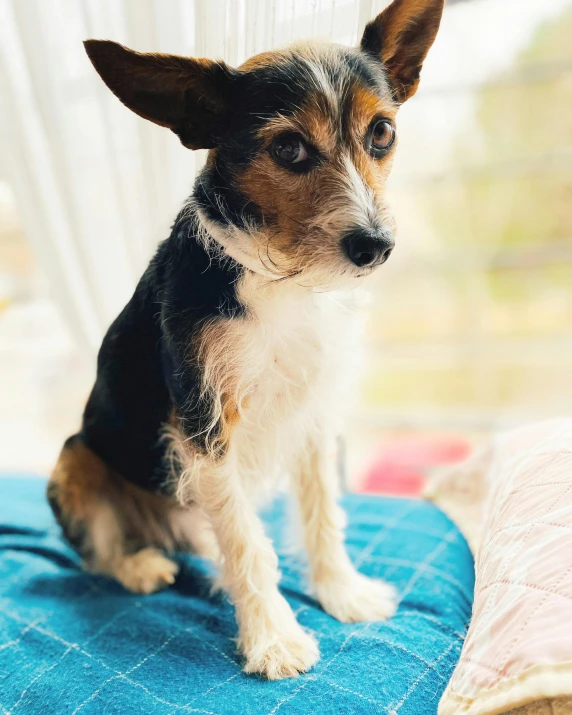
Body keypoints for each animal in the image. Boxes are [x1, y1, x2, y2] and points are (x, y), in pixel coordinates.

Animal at [48, 0, 442, 684]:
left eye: (382, 133)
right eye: (288, 147)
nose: (374, 246)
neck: (283, 276)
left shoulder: (314, 413)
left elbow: (322, 513)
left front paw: (342, 593)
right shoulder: (206, 425)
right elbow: (245, 541)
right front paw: (274, 639)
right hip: (73, 460)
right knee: (102, 552)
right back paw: (140, 565)